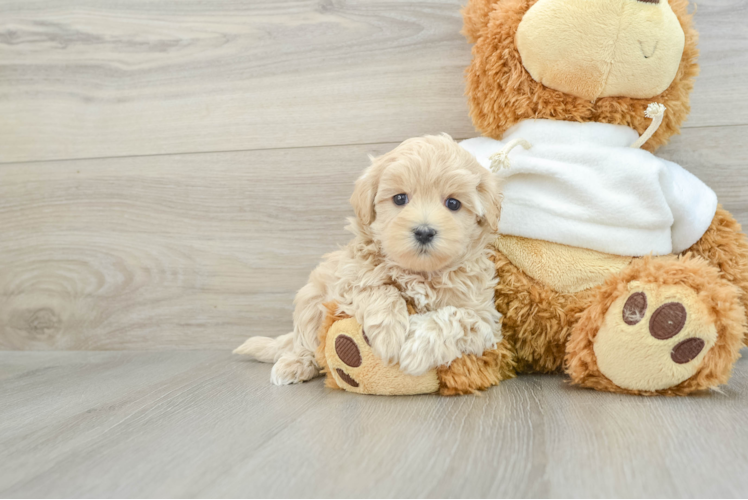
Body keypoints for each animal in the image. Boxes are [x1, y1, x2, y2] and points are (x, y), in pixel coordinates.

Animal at [235, 136, 502, 386]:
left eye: (453, 203)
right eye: (400, 199)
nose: (424, 232)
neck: (420, 273)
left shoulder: (485, 321)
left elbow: (457, 317)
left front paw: (417, 349)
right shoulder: (348, 282)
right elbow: (377, 288)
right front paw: (389, 335)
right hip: (311, 299)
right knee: (306, 341)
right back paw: (295, 363)